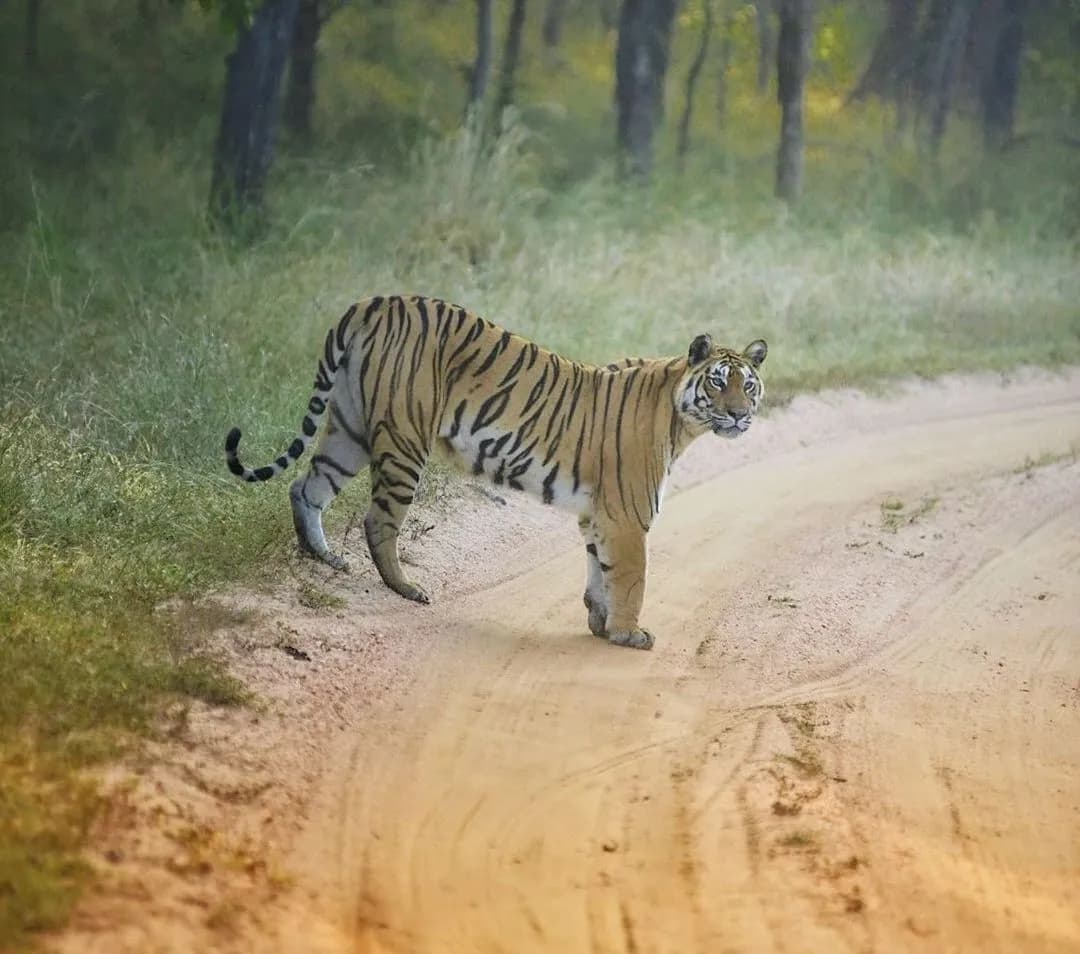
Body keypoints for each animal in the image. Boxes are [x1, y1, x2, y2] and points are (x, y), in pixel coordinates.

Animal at [225, 295, 766, 650]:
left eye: (748, 386)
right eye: (718, 383)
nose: (740, 416)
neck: (681, 421)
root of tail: (374, 303)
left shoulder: (598, 516)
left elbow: (598, 571)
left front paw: (599, 622)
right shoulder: (627, 517)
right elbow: (631, 578)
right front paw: (628, 633)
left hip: (349, 428)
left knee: (306, 486)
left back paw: (322, 557)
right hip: (403, 436)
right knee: (378, 520)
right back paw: (406, 588)